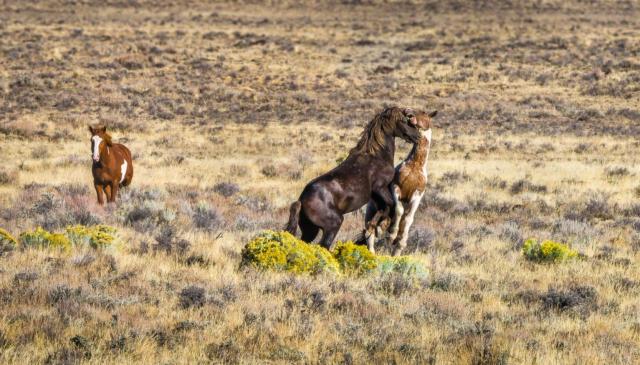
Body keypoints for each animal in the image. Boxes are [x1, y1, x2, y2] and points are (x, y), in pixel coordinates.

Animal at [284, 104, 424, 247]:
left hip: (310, 230)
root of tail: (301, 200)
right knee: (324, 245)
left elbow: (384, 208)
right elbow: (390, 205)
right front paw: (379, 228)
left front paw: (373, 229)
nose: (418, 136)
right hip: (333, 225)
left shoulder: (375, 195)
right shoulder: (380, 188)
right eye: (403, 120)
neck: (376, 156)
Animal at [362, 109, 438, 255]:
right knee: (370, 233)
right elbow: (398, 209)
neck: (415, 167)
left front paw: (398, 238)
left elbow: (407, 218)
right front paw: (392, 234)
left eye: (424, 115)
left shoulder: (417, 195)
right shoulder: (395, 187)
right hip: (371, 211)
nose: (409, 114)